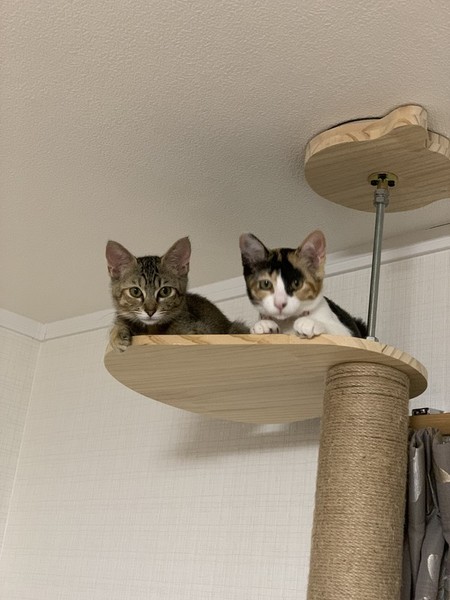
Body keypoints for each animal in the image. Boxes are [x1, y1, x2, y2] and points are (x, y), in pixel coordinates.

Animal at [106, 236, 249, 351]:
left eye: (165, 291)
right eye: (135, 292)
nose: (150, 311)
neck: (152, 329)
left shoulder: (199, 330)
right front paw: (117, 333)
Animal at [239, 230, 367, 338]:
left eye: (297, 283)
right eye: (266, 284)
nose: (280, 304)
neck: (288, 321)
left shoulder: (349, 334)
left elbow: (335, 329)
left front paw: (310, 322)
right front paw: (263, 323)